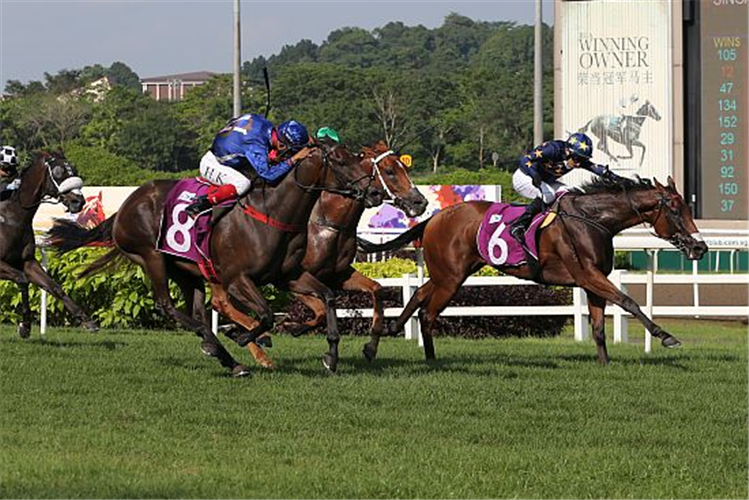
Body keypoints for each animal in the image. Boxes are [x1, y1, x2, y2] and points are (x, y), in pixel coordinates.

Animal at [0, 150, 98, 338]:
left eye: (73, 169)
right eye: (59, 172)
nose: (79, 201)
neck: (11, 217)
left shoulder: (28, 261)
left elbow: (54, 287)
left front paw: (87, 321)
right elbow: (22, 279)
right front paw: (25, 326)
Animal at [48, 142, 380, 376]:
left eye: (356, 157)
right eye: (340, 161)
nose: (375, 192)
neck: (273, 213)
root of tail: (127, 204)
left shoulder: (287, 275)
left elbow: (327, 297)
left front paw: (331, 355)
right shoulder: (237, 279)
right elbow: (266, 314)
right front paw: (245, 336)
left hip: (186, 270)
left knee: (197, 312)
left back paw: (223, 354)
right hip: (151, 256)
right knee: (167, 306)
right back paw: (225, 346)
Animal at [278, 141, 426, 346]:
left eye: (405, 167)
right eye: (389, 171)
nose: (420, 202)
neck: (330, 225)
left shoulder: (337, 276)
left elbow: (376, 289)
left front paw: (373, 342)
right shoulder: (291, 279)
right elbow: (321, 310)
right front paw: (290, 326)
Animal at [356, 178, 708, 366]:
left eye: (685, 207)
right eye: (675, 209)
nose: (700, 247)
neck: (594, 219)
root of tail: (436, 217)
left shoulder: (591, 281)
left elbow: (598, 327)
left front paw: (605, 364)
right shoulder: (588, 275)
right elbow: (628, 301)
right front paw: (666, 336)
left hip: (452, 272)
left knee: (417, 294)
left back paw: (383, 337)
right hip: (451, 278)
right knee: (427, 314)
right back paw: (427, 358)